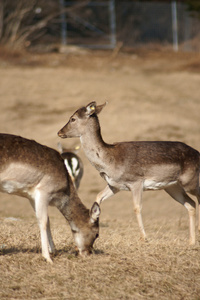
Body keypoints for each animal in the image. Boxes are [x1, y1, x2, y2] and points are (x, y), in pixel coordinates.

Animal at [0, 133, 100, 262]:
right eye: (97, 234)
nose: (87, 253)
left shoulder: (31, 197)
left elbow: (47, 220)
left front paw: (54, 250)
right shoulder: (44, 191)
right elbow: (42, 220)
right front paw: (48, 258)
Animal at [57, 102, 200, 245]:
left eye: (73, 118)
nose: (60, 132)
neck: (109, 162)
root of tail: (198, 153)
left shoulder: (136, 181)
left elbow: (137, 207)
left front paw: (144, 238)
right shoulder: (114, 185)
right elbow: (98, 197)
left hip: (191, 181)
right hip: (172, 187)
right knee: (191, 204)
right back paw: (191, 241)